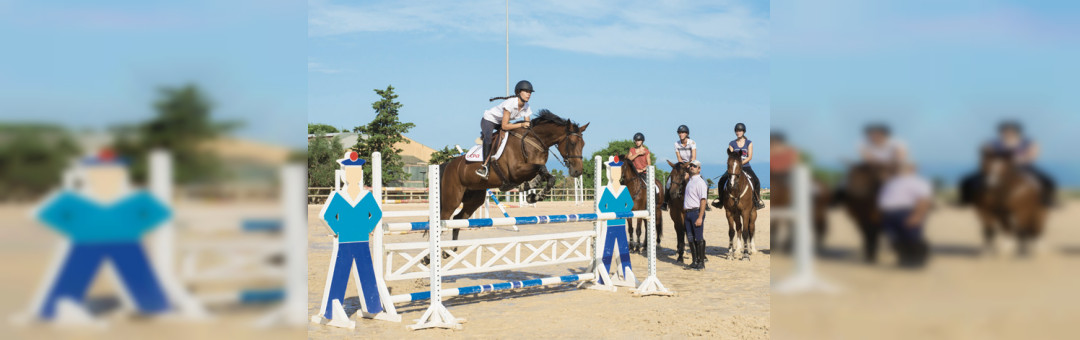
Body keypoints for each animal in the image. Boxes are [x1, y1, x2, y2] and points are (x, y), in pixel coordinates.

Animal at [432, 110, 587, 256]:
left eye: (583, 144)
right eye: (572, 143)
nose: (577, 171)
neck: (533, 140)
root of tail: (448, 165)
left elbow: (548, 176)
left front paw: (533, 195)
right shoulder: (515, 171)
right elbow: (541, 169)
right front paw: (531, 191)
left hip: (474, 199)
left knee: (458, 219)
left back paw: (449, 250)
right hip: (452, 199)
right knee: (444, 219)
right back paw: (431, 256)